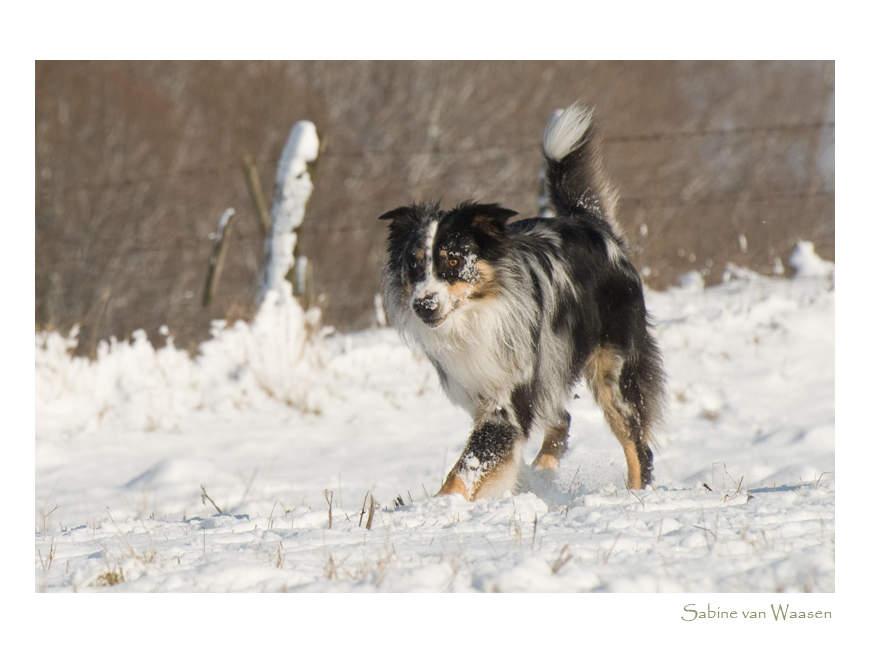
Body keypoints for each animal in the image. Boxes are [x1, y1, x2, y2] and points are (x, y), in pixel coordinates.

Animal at [376, 103, 668, 500]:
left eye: (454, 260)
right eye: (414, 263)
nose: (424, 305)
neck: (476, 314)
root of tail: (591, 223)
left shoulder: (507, 395)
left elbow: (467, 465)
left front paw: (441, 505)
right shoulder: (483, 390)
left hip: (613, 368)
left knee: (638, 446)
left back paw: (636, 495)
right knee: (563, 417)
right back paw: (542, 474)